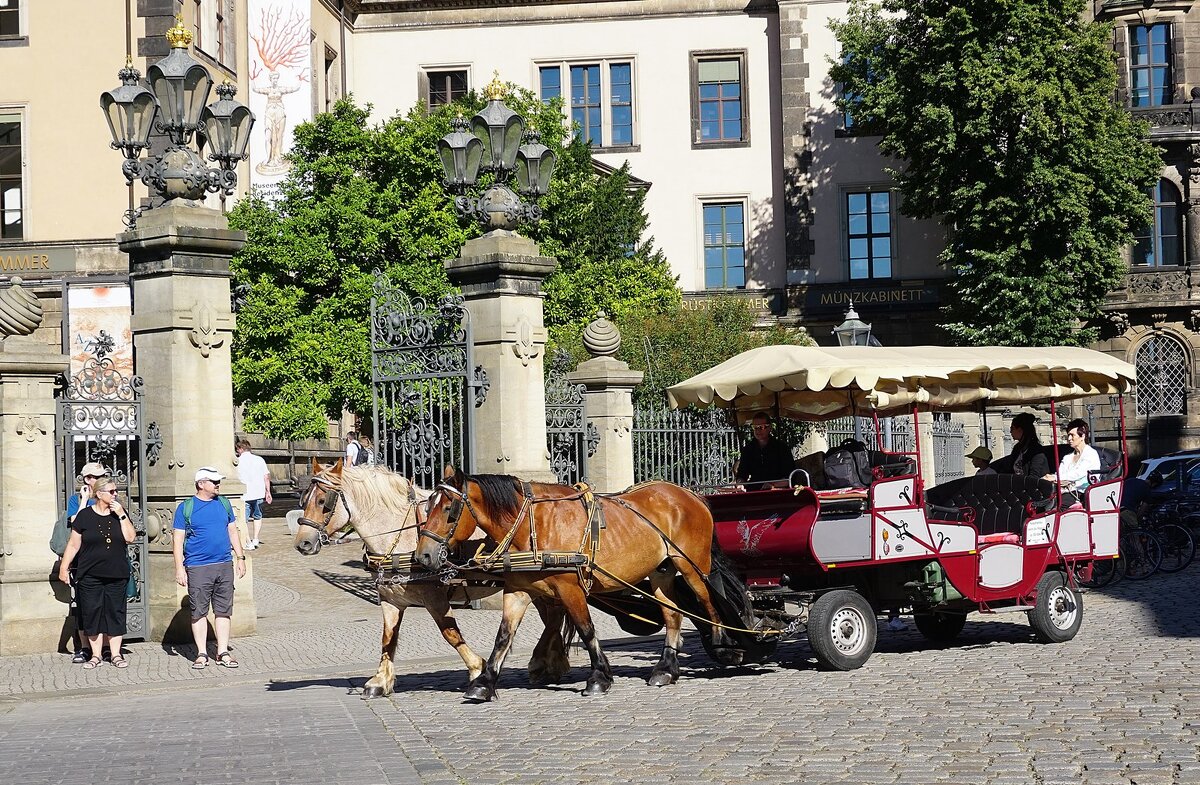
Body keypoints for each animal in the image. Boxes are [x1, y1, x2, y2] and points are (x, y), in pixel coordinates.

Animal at [292, 460, 568, 700]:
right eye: (304, 499)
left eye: (323, 501)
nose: (302, 543)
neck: (400, 538)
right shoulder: (390, 598)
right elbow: (387, 638)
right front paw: (380, 680)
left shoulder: (433, 596)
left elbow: (450, 634)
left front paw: (477, 669)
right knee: (554, 616)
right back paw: (550, 662)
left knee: (554, 615)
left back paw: (544, 662)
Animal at [412, 472, 734, 700]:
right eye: (428, 507)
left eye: (449, 509)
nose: (422, 555)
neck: (532, 525)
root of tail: (690, 494)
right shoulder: (517, 591)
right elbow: (503, 636)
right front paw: (485, 681)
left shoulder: (571, 589)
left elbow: (586, 628)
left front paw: (599, 677)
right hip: (661, 573)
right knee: (672, 615)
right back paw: (666, 669)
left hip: (691, 567)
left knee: (707, 601)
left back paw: (725, 644)